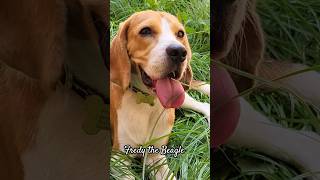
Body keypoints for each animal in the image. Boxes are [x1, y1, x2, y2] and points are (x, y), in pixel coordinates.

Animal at [110, 10, 210, 179]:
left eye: (180, 33)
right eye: (145, 31)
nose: (179, 52)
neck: (146, 101)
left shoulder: (156, 155)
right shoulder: (118, 159)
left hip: (182, 97)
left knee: (203, 104)